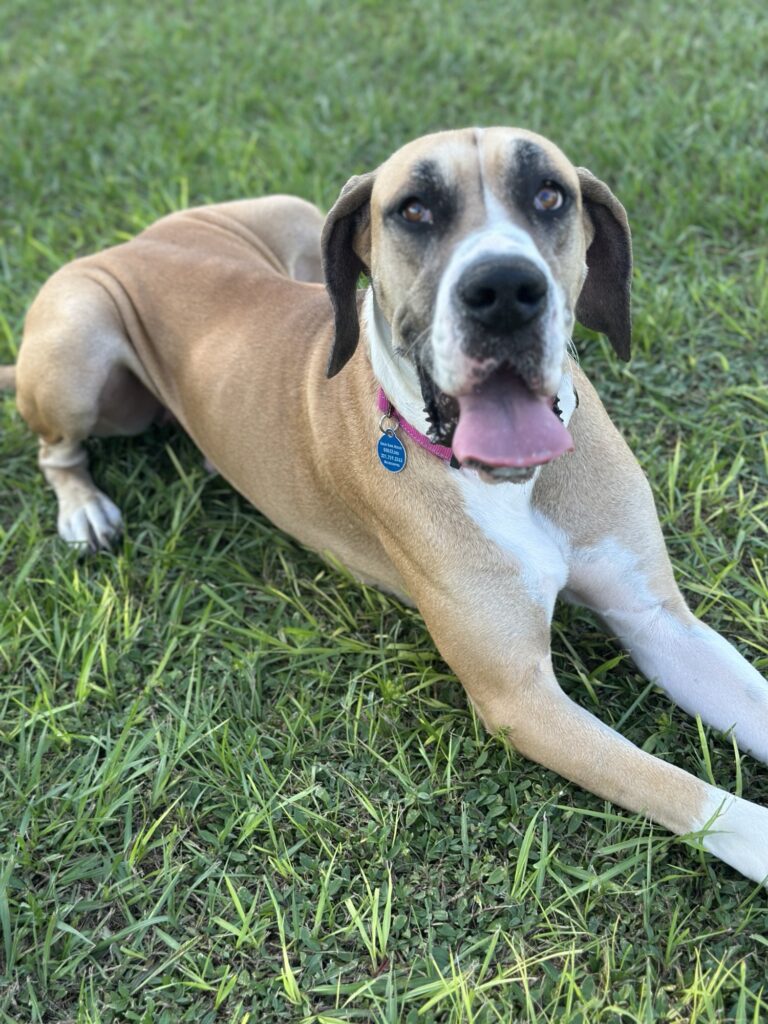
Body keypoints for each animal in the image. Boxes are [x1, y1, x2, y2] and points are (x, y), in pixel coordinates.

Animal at [4, 127, 768, 884]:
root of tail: (131, 242)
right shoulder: (519, 696)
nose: (505, 289)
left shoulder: (659, 621)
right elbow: (677, 786)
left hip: (291, 217)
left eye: (550, 195)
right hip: (78, 340)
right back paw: (83, 511)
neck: (513, 486)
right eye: (415, 210)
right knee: (55, 451)